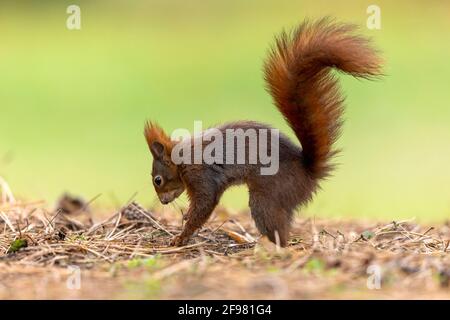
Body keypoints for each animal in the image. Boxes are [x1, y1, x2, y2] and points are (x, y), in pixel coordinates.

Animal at [145, 18, 384, 246]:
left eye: (157, 180)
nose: (163, 202)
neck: (181, 158)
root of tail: (308, 171)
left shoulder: (201, 174)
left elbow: (205, 203)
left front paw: (181, 236)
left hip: (268, 197)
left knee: (279, 234)